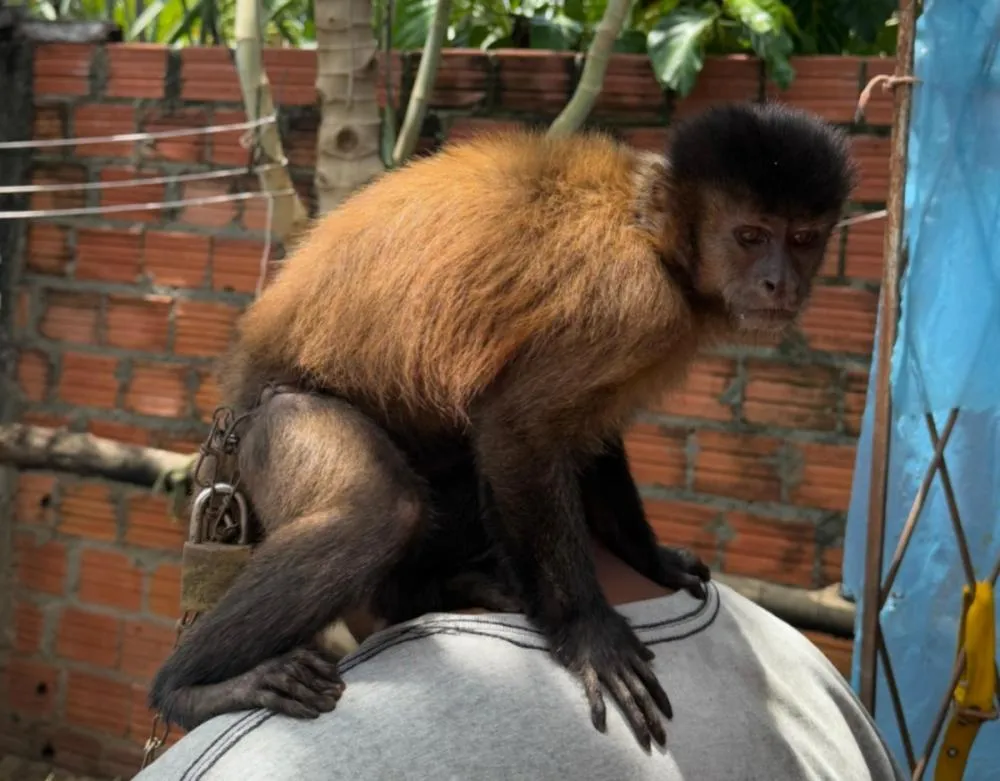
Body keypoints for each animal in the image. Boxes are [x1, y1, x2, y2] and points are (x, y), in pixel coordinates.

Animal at [148, 101, 856, 751]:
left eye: (802, 239)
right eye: (750, 236)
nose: (779, 282)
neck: (653, 235)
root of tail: (238, 393)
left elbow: (587, 432)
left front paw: (647, 557)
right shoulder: (632, 302)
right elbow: (520, 428)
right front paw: (589, 633)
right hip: (270, 423)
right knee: (378, 508)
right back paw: (191, 688)